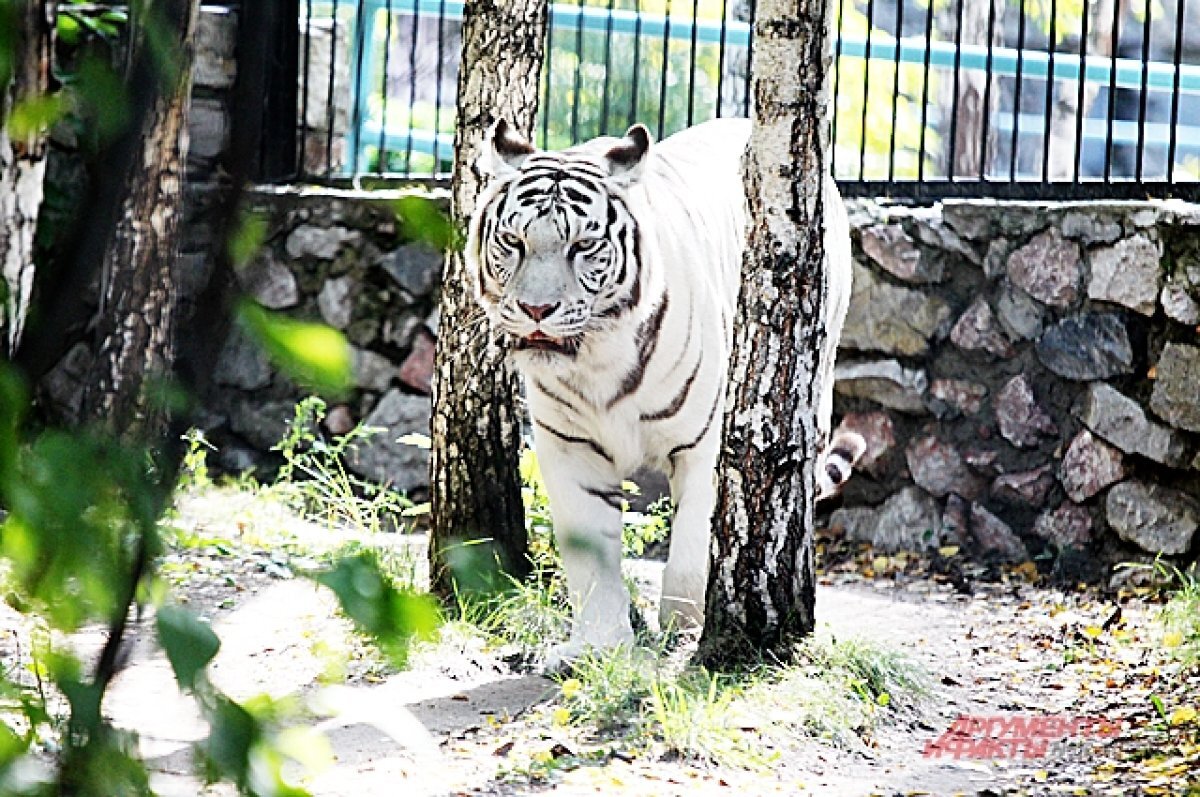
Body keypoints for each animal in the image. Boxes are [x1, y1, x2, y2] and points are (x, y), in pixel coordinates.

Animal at [463, 117, 868, 667]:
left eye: (582, 246)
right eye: (513, 241)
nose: (536, 309)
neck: (596, 359)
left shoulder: (706, 445)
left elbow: (692, 550)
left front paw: (684, 635)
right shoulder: (570, 447)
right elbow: (590, 555)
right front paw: (598, 646)